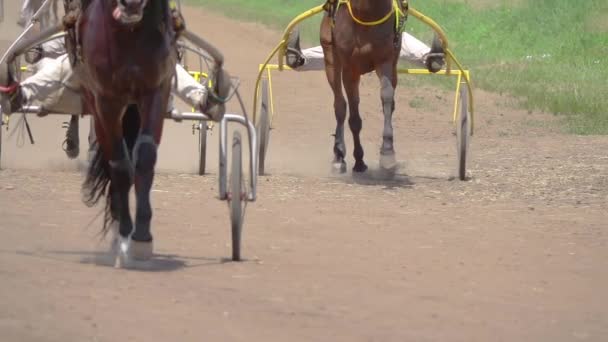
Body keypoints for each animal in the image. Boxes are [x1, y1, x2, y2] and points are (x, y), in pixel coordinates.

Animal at [78, 0, 178, 264]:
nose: (130, 4)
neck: (128, 33)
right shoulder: (105, 100)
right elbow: (121, 166)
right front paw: (124, 233)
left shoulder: (156, 89)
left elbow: (144, 157)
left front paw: (142, 235)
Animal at [320, 0, 406, 174]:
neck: (366, 13)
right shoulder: (350, 69)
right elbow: (353, 116)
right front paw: (358, 159)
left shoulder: (385, 60)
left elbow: (387, 97)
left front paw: (387, 152)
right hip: (330, 59)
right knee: (340, 105)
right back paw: (339, 156)